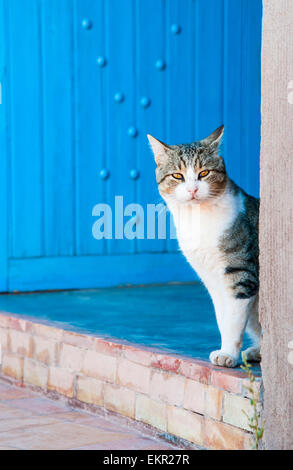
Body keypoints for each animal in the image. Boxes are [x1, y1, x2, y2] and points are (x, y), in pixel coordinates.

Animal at [147, 126, 258, 368]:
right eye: (177, 176)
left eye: (204, 173)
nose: (192, 190)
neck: (197, 218)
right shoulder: (212, 279)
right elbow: (222, 318)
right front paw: (227, 350)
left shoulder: (241, 274)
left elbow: (234, 320)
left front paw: (228, 355)